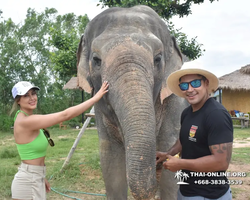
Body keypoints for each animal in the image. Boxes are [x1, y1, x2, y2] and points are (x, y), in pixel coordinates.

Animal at [77, 4, 188, 200]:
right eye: (96, 60)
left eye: (157, 59)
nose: (157, 159)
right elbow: (111, 162)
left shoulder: (175, 102)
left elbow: (170, 154)